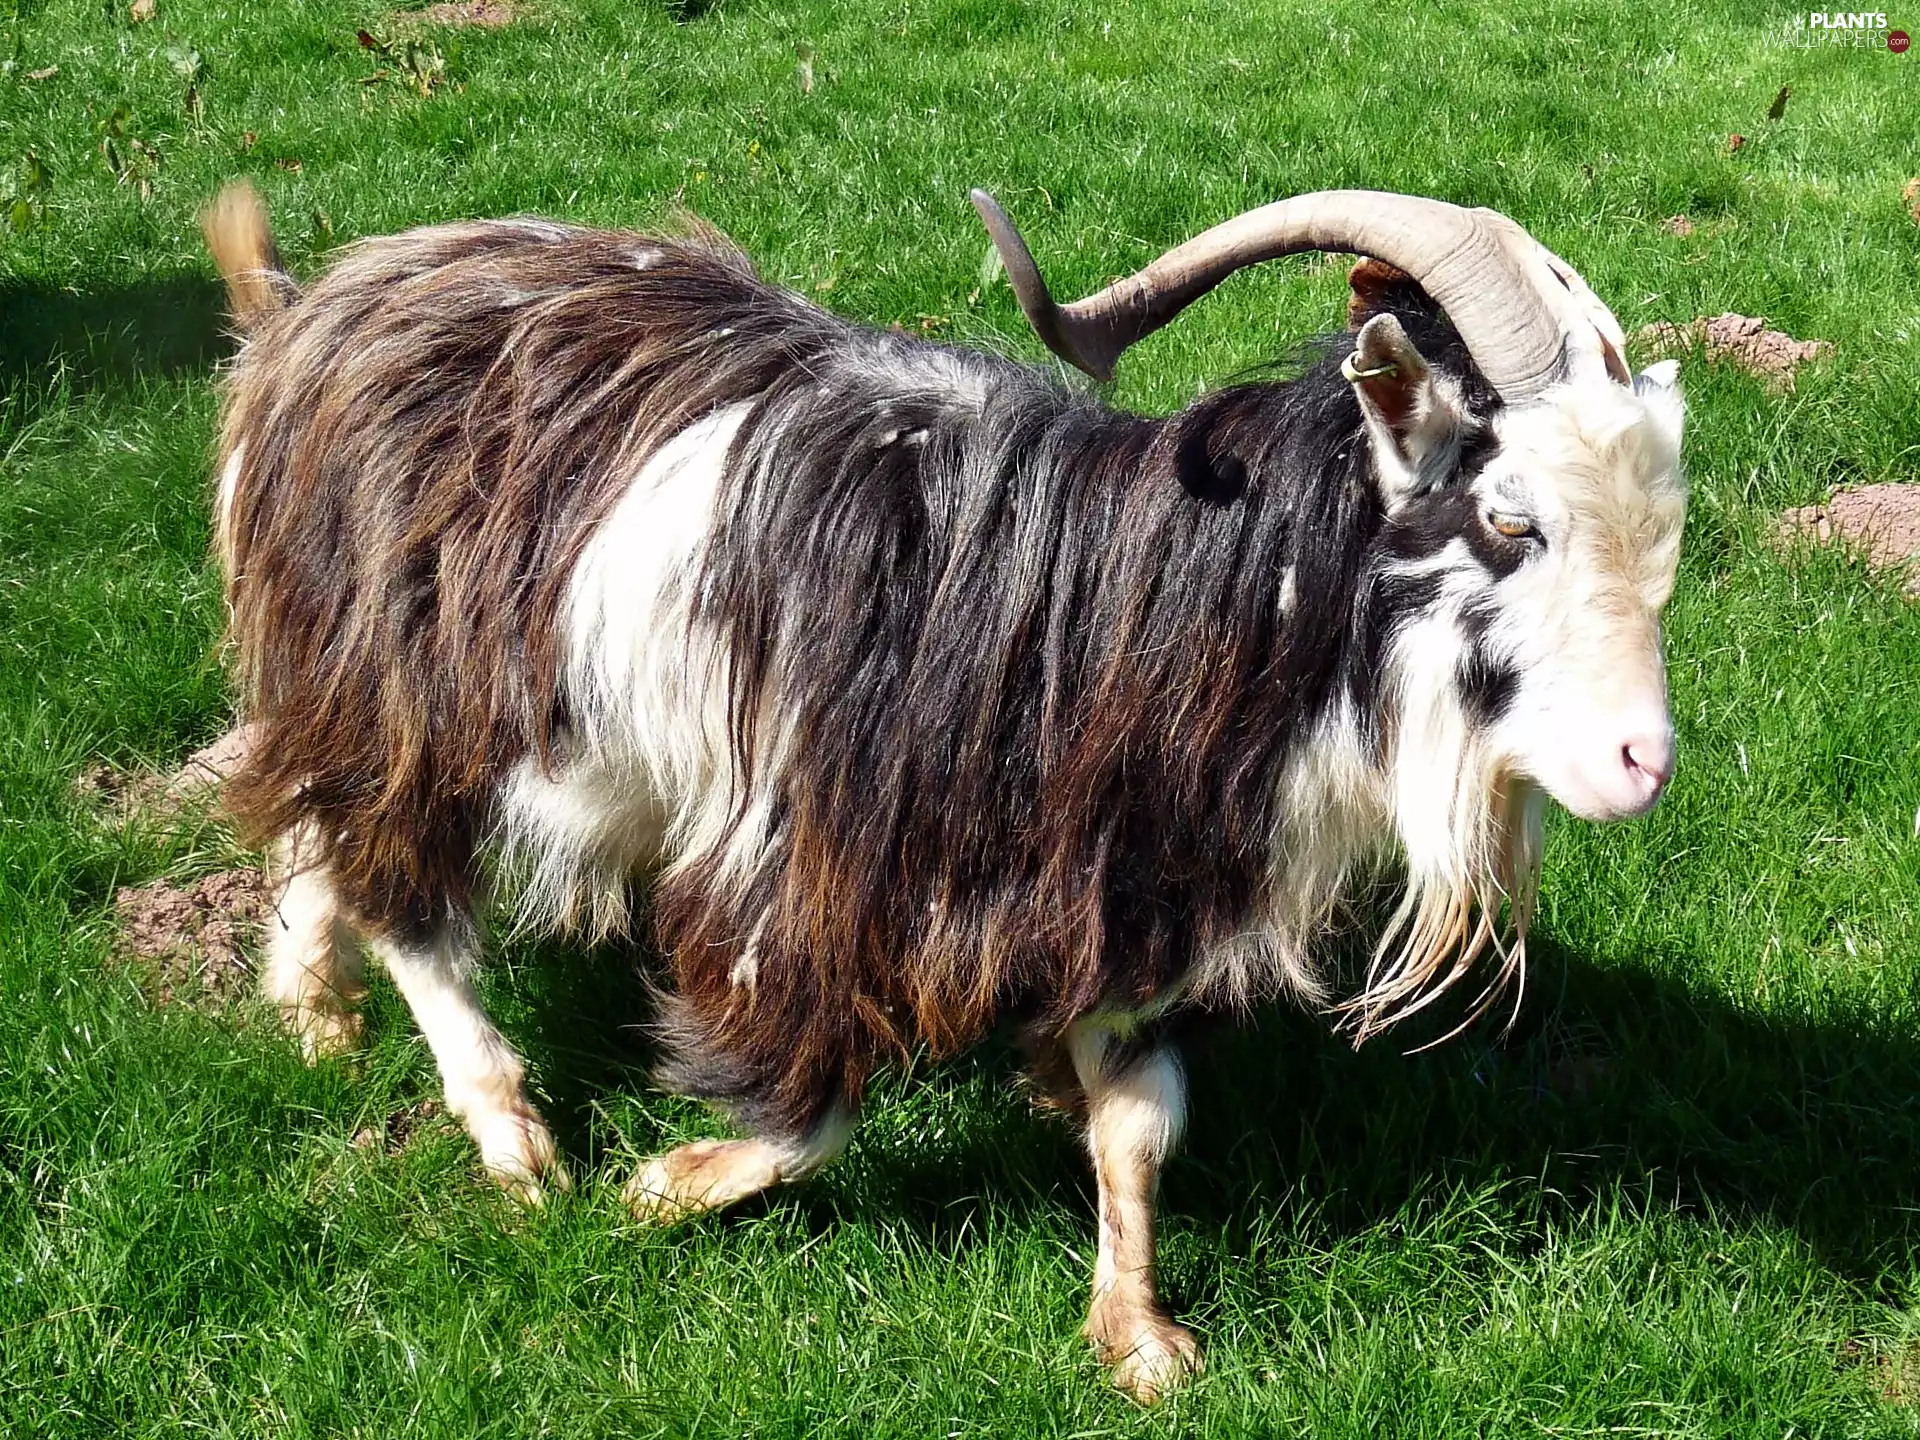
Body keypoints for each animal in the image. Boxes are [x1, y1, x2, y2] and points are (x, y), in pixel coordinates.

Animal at [202, 179, 1685, 1402]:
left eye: (1662, 524)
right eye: (1509, 518)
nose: (1643, 764)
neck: (1117, 615)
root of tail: (324, 301)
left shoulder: (1120, 902)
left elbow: (1140, 1124)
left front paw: (1136, 1334)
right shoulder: (802, 874)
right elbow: (814, 1114)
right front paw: (661, 1186)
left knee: (305, 816)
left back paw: (313, 1008)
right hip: (400, 682)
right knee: (397, 879)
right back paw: (510, 1136)